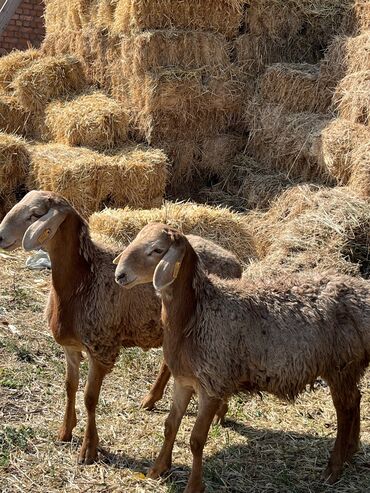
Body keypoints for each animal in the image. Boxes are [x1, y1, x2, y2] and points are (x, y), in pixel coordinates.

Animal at [0, 190, 243, 464]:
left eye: (35, 214)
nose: (0, 237)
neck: (82, 281)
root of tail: (235, 261)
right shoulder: (71, 348)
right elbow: (69, 387)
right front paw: (65, 431)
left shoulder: (101, 348)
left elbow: (89, 398)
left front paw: (88, 449)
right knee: (168, 365)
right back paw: (151, 399)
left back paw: (219, 411)